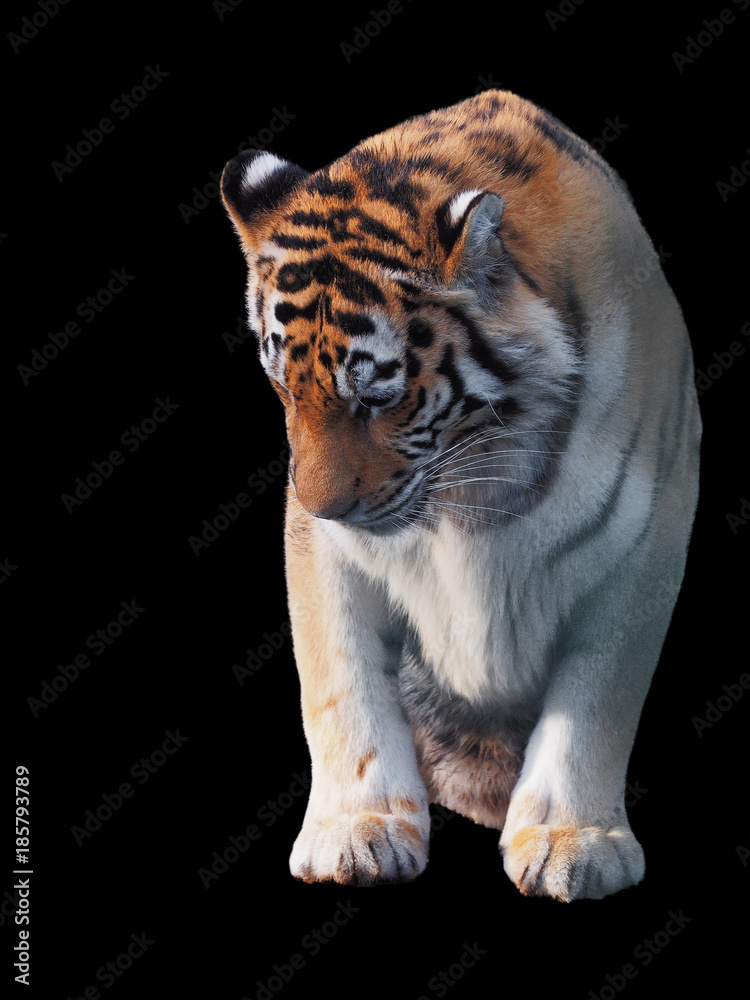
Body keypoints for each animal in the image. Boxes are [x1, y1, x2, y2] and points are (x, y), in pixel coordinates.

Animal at [220, 89, 701, 901]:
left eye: (377, 398)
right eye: (285, 389)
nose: (324, 507)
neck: (470, 494)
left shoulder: (644, 540)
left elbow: (595, 700)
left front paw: (573, 842)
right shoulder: (323, 552)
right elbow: (341, 680)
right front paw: (357, 831)